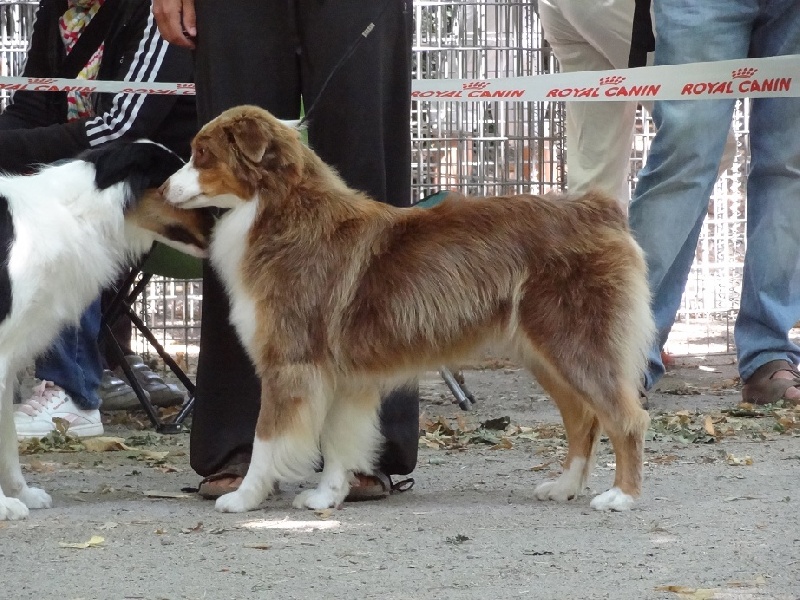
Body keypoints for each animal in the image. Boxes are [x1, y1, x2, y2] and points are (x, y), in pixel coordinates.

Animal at [0, 142, 212, 520]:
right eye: (175, 186)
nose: (221, 222)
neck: (74, 214)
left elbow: (7, 440)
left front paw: (22, 495)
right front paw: (5, 504)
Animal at [162, 103, 656, 510]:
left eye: (202, 154)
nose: (163, 189)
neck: (276, 206)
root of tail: (598, 209)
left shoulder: (291, 362)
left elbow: (266, 439)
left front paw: (244, 498)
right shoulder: (341, 374)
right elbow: (338, 439)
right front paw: (328, 497)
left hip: (576, 343)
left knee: (628, 417)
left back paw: (622, 497)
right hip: (544, 352)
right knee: (584, 418)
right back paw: (565, 486)